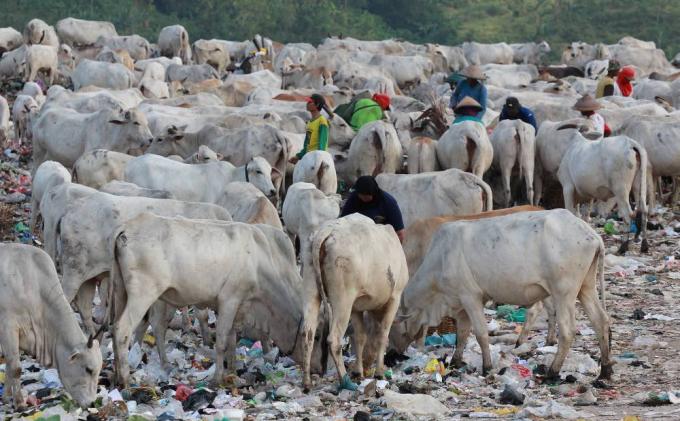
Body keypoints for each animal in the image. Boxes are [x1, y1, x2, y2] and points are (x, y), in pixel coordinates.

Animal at [0, 243, 102, 406]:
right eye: (88, 369)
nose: (92, 403)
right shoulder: (8, 327)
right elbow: (15, 368)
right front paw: (19, 403)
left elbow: (9, 366)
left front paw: (6, 397)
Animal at [108, 215, 302, 386]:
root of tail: (127, 228)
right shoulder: (230, 299)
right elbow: (222, 341)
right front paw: (218, 378)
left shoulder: (238, 306)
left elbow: (232, 338)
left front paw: (232, 370)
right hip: (144, 294)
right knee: (126, 329)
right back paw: (126, 379)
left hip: (123, 291)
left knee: (134, 326)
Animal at [300, 215, 406, 388]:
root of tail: (324, 232)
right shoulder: (394, 298)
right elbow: (382, 335)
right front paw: (379, 373)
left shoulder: (356, 308)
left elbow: (360, 336)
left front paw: (358, 372)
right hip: (343, 299)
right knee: (334, 339)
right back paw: (345, 380)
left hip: (311, 288)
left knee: (307, 333)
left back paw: (307, 381)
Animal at [394, 212, 612, 378]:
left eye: (395, 328)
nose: (393, 354)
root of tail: (592, 235)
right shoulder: (462, 303)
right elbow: (462, 334)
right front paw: (456, 361)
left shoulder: (470, 297)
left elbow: (480, 334)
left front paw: (487, 367)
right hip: (586, 287)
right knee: (600, 321)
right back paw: (605, 370)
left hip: (563, 293)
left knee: (567, 331)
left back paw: (552, 371)